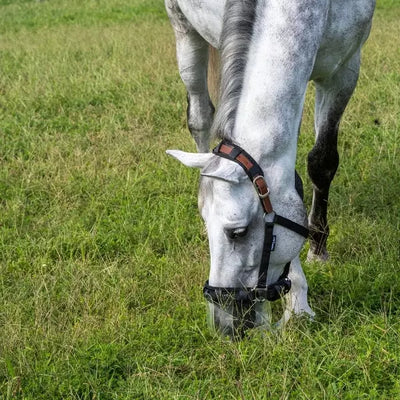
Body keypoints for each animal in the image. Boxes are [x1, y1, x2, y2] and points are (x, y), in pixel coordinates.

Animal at [165, 0, 376, 338]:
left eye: (237, 232)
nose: (224, 324)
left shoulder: (343, 71)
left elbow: (322, 161)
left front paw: (318, 250)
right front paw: (298, 303)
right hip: (184, 30)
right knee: (200, 117)